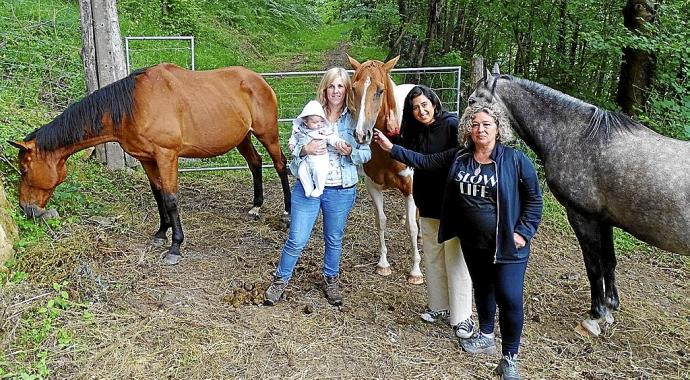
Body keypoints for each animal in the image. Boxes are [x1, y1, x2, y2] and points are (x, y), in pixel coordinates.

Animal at [10, 63, 290, 264]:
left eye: (24, 169)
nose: (26, 209)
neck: (133, 105)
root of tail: (258, 80)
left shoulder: (166, 156)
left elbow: (171, 198)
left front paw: (175, 247)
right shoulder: (146, 159)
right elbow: (158, 195)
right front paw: (160, 234)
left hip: (267, 133)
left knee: (281, 164)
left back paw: (287, 211)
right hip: (242, 138)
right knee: (255, 163)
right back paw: (256, 206)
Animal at [346, 55, 422, 284]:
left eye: (380, 90)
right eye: (354, 88)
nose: (361, 134)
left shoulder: (410, 188)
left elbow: (411, 227)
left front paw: (416, 272)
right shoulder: (374, 186)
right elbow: (381, 221)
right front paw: (383, 264)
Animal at [468, 65, 688, 336]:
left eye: (472, 101)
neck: (578, 135)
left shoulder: (582, 217)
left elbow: (593, 266)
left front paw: (595, 316)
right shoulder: (604, 220)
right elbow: (609, 262)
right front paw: (610, 308)